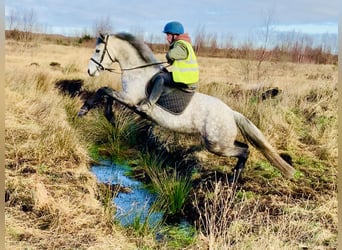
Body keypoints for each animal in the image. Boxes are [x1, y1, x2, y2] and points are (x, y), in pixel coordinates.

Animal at [78, 32, 296, 180]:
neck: (138, 72)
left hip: (216, 144)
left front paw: (84, 110)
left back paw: (234, 178)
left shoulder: (130, 99)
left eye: (98, 50)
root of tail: (231, 113)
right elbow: (107, 95)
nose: (89, 71)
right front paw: (110, 117)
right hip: (220, 141)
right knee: (244, 147)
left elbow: (104, 91)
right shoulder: (125, 98)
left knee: (244, 151)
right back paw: (235, 174)